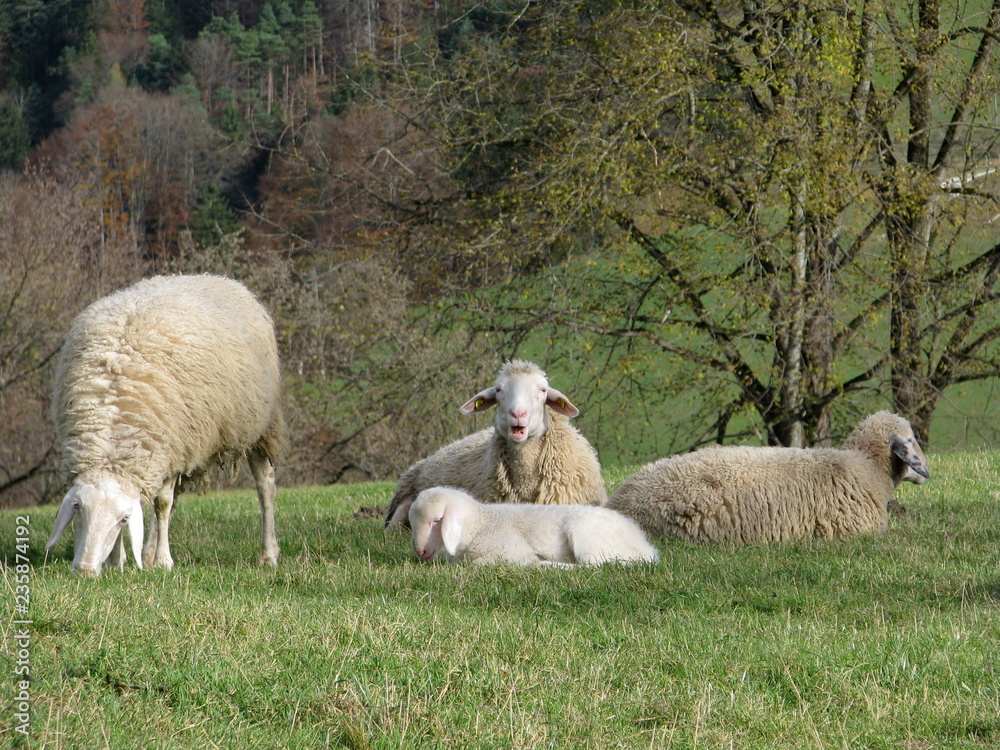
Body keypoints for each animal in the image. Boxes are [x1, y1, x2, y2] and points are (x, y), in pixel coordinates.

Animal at [47, 274, 286, 576]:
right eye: (77, 508)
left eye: (123, 519)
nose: (85, 570)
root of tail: (214, 278)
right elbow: (159, 506)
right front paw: (118, 562)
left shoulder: (176, 445)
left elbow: (162, 505)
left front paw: (163, 561)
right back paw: (147, 554)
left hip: (259, 425)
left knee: (265, 487)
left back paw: (269, 554)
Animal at [406, 490, 664, 568]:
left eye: (437, 520)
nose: (420, 552)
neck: (481, 524)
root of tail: (645, 548)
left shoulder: (512, 552)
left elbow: (478, 564)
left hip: (586, 536)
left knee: (596, 566)